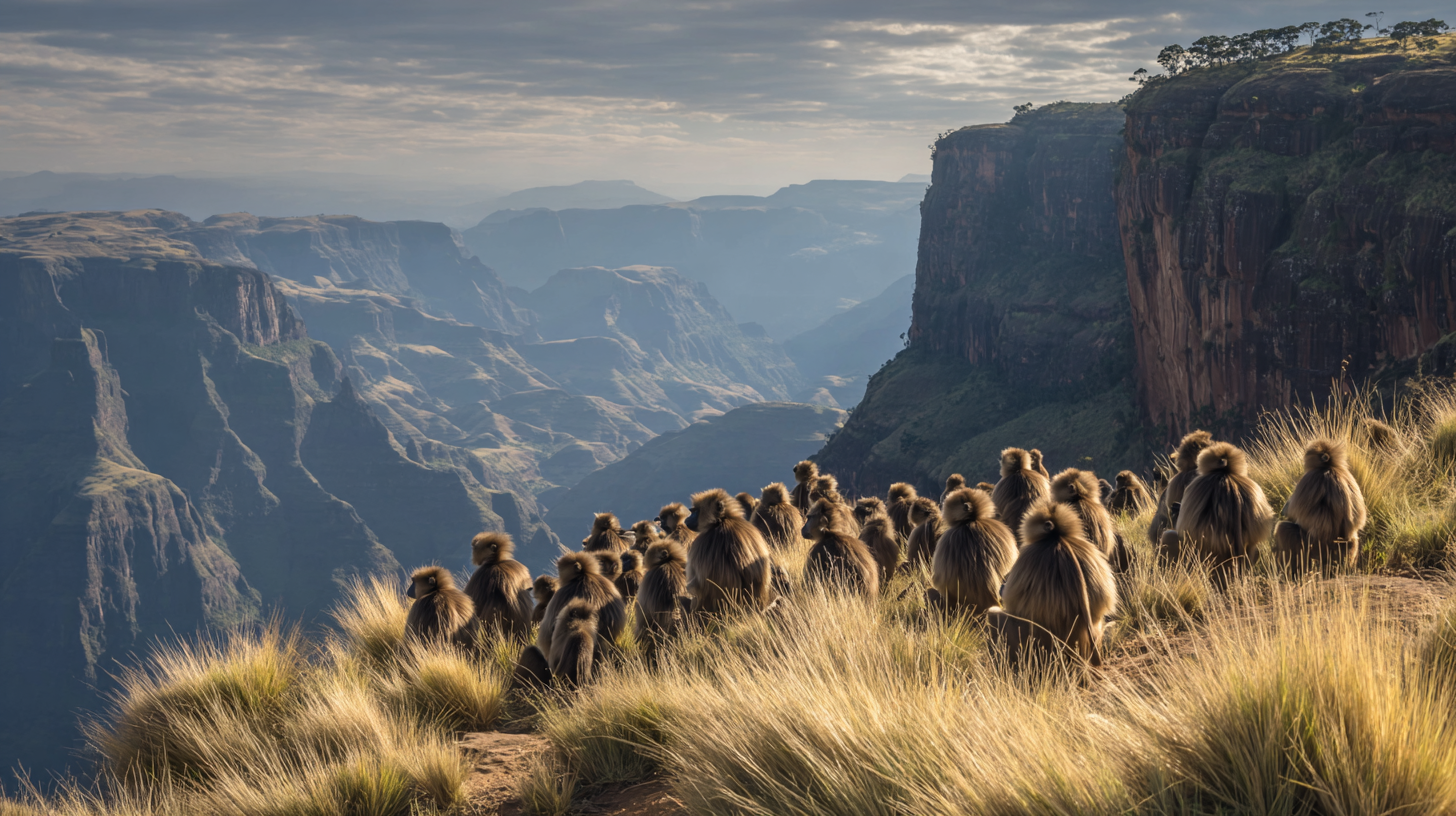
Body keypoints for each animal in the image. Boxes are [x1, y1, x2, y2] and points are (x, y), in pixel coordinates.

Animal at [1272, 439, 1367, 570]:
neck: (1328, 467)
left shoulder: (1310, 477)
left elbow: (1294, 513)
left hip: (1312, 548)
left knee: (1284, 529)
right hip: (1342, 549)